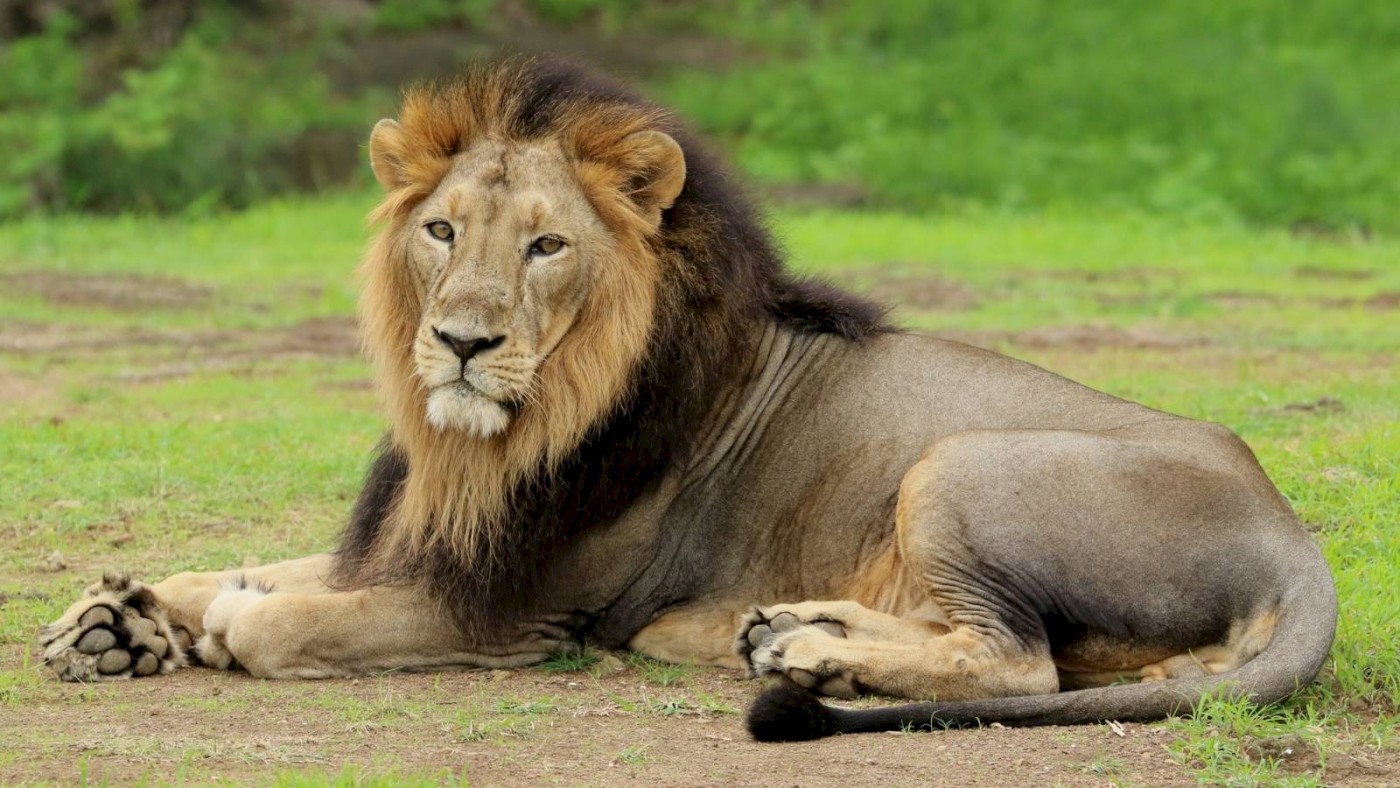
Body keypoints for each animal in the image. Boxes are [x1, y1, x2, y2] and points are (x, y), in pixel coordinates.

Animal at [38, 59, 1335, 741]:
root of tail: (1294, 544)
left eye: (547, 245)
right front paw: (120, 616)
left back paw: (805, 652)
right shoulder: (433, 535)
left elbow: (287, 617)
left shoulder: (521, 610)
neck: (488, 441)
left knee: (1021, 664)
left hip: (961, 461)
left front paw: (220, 621)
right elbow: (254, 564)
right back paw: (793, 632)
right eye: (442, 230)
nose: (459, 341)